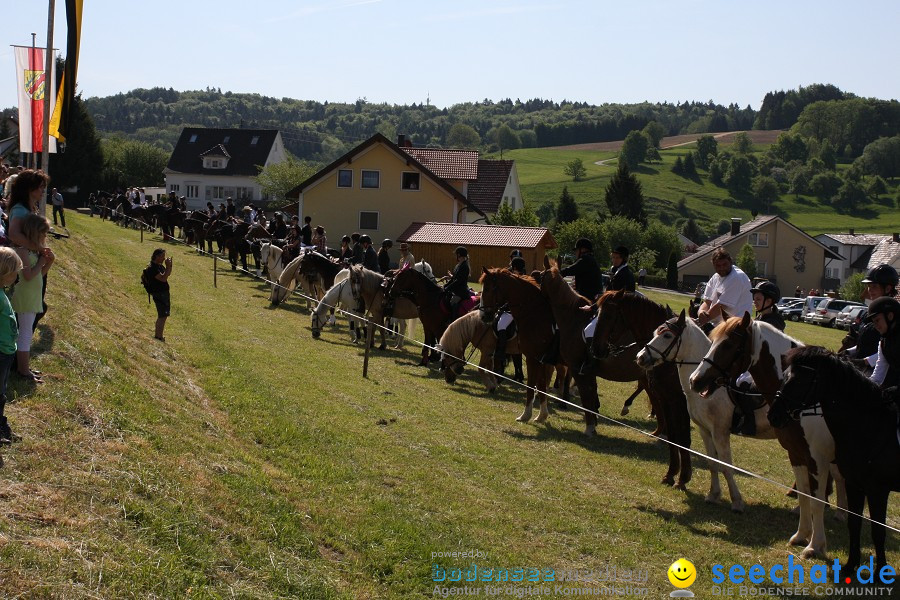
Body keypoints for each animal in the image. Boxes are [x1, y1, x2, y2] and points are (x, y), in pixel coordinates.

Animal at [478, 268, 564, 426]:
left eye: (487, 289)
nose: (483, 316)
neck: (535, 315)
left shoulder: (532, 359)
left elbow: (531, 386)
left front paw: (525, 415)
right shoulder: (541, 360)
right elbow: (541, 386)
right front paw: (542, 415)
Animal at [636, 310, 776, 510]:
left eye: (667, 335)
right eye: (656, 332)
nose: (640, 357)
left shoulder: (720, 431)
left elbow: (725, 464)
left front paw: (736, 501)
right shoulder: (704, 429)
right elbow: (712, 462)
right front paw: (713, 494)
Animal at [692, 312, 848, 560]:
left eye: (728, 345)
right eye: (712, 338)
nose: (696, 380)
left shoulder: (817, 459)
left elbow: (816, 500)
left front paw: (815, 546)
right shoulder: (797, 454)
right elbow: (804, 494)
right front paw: (802, 535)